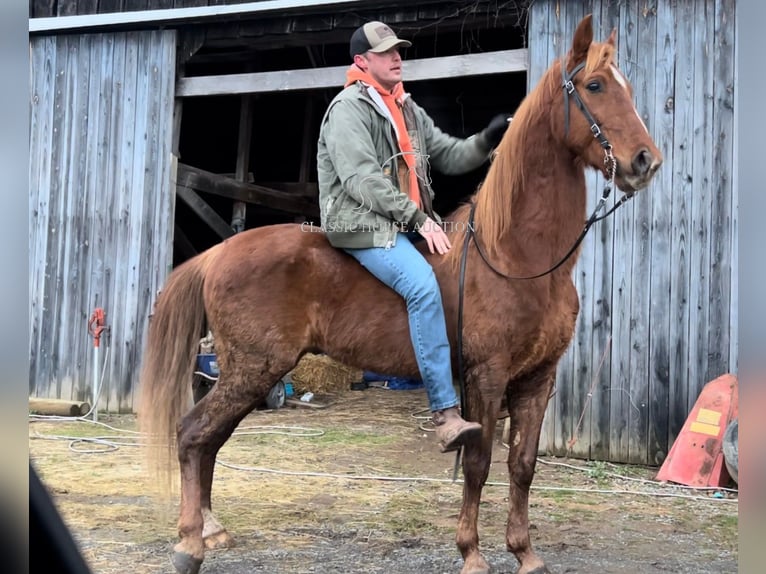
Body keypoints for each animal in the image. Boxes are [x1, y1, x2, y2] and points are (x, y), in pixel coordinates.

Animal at [141, 15, 664, 574]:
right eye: (595, 86)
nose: (645, 161)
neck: (517, 258)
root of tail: (217, 253)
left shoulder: (537, 379)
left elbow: (522, 466)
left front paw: (525, 553)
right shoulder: (487, 375)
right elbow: (478, 464)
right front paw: (472, 553)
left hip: (251, 373)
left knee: (210, 441)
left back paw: (210, 530)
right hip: (251, 368)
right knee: (193, 434)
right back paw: (189, 544)